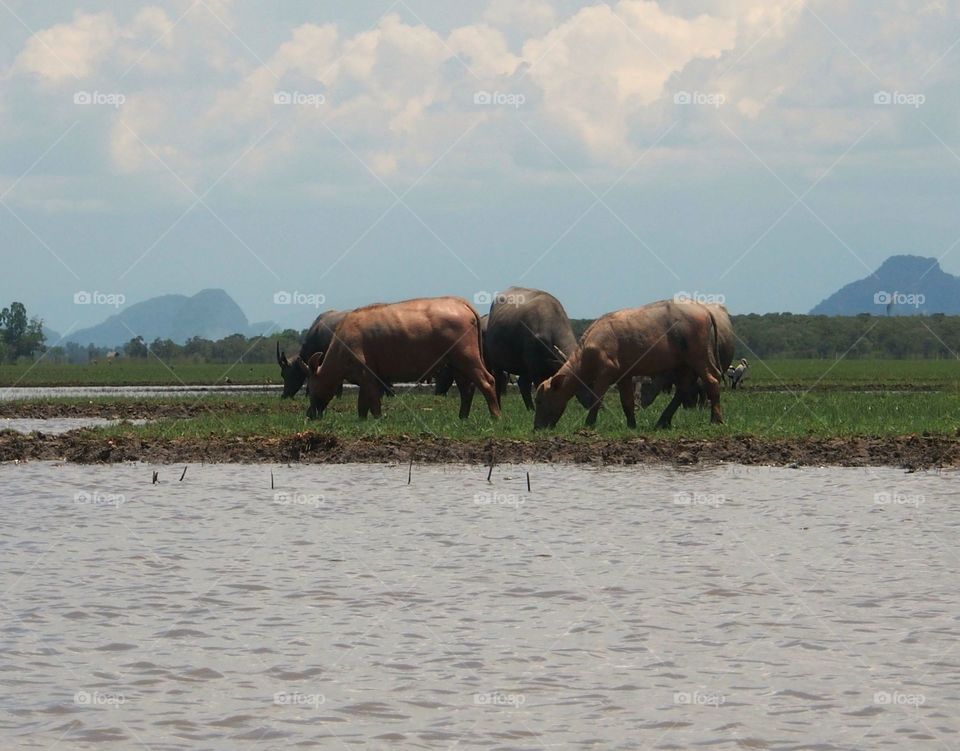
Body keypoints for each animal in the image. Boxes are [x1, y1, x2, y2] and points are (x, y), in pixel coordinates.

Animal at [308, 296, 502, 424]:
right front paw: (362, 420)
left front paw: (377, 420)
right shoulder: (367, 378)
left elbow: (373, 402)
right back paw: (462, 417)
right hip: (456, 363)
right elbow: (362, 404)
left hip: (467, 357)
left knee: (487, 382)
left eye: (310, 389)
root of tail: (460, 302)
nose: (309, 414)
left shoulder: (367, 375)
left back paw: (495, 416)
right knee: (466, 388)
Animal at [528, 300, 724, 428]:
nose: (537, 427)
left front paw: (589, 424)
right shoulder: (624, 375)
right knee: (682, 391)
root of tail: (704, 309)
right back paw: (662, 422)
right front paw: (631, 424)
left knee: (712, 381)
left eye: (539, 400)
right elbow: (627, 402)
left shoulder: (606, 373)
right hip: (683, 364)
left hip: (697, 358)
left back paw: (716, 420)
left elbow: (596, 399)